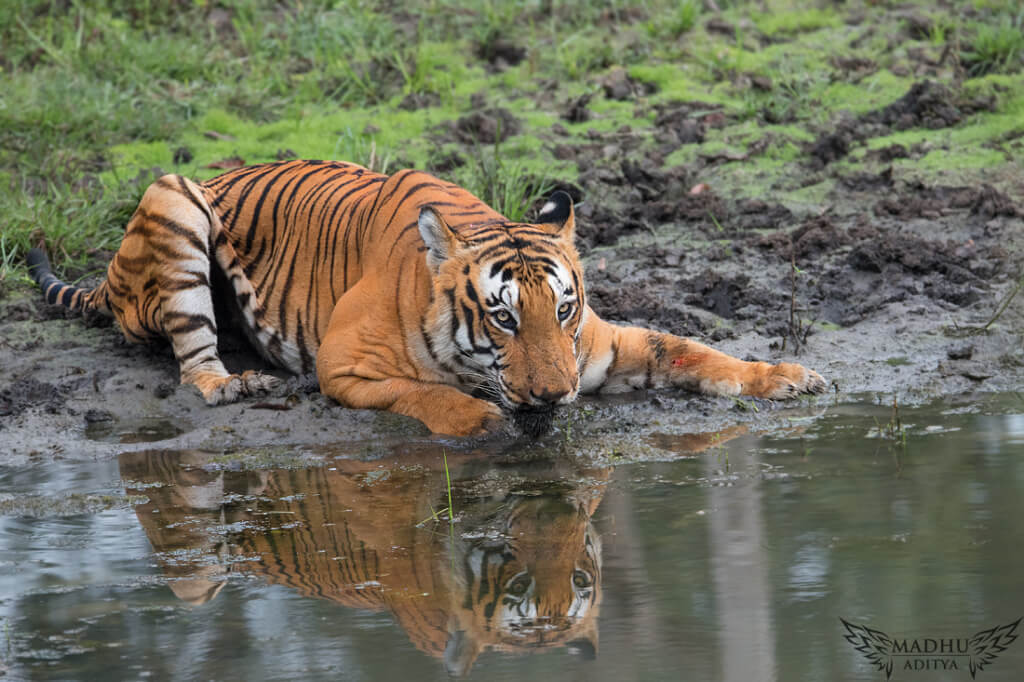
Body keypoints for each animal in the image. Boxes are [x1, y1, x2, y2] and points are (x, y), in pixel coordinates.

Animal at [28, 159, 827, 432]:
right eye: (502, 318)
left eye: (563, 310)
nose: (555, 397)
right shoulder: (342, 364)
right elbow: (425, 392)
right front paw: (477, 417)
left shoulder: (601, 347)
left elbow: (694, 349)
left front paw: (785, 376)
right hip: (173, 200)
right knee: (193, 359)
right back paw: (233, 385)